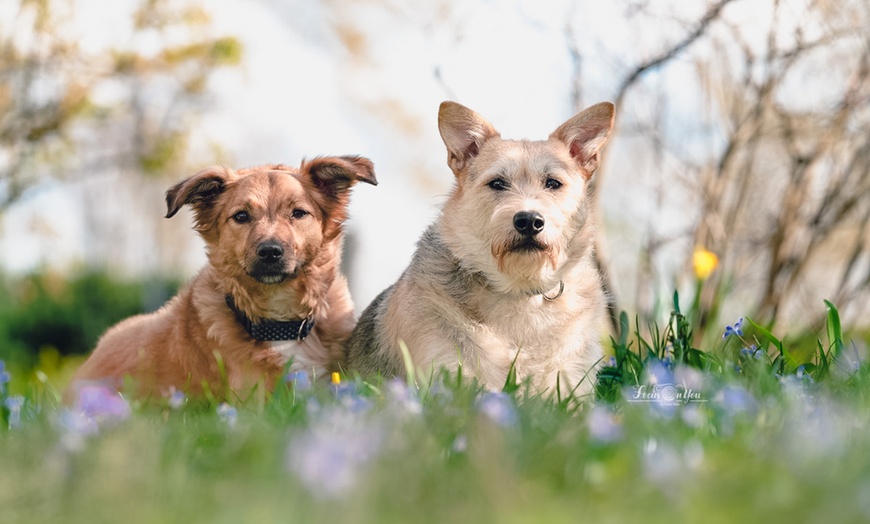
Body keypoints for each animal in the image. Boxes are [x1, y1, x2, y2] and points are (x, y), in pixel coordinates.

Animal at [344, 101, 616, 398]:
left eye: (553, 183)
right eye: (497, 183)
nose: (529, 221)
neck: (519, 291)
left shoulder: (571, 383)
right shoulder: (447, 371)